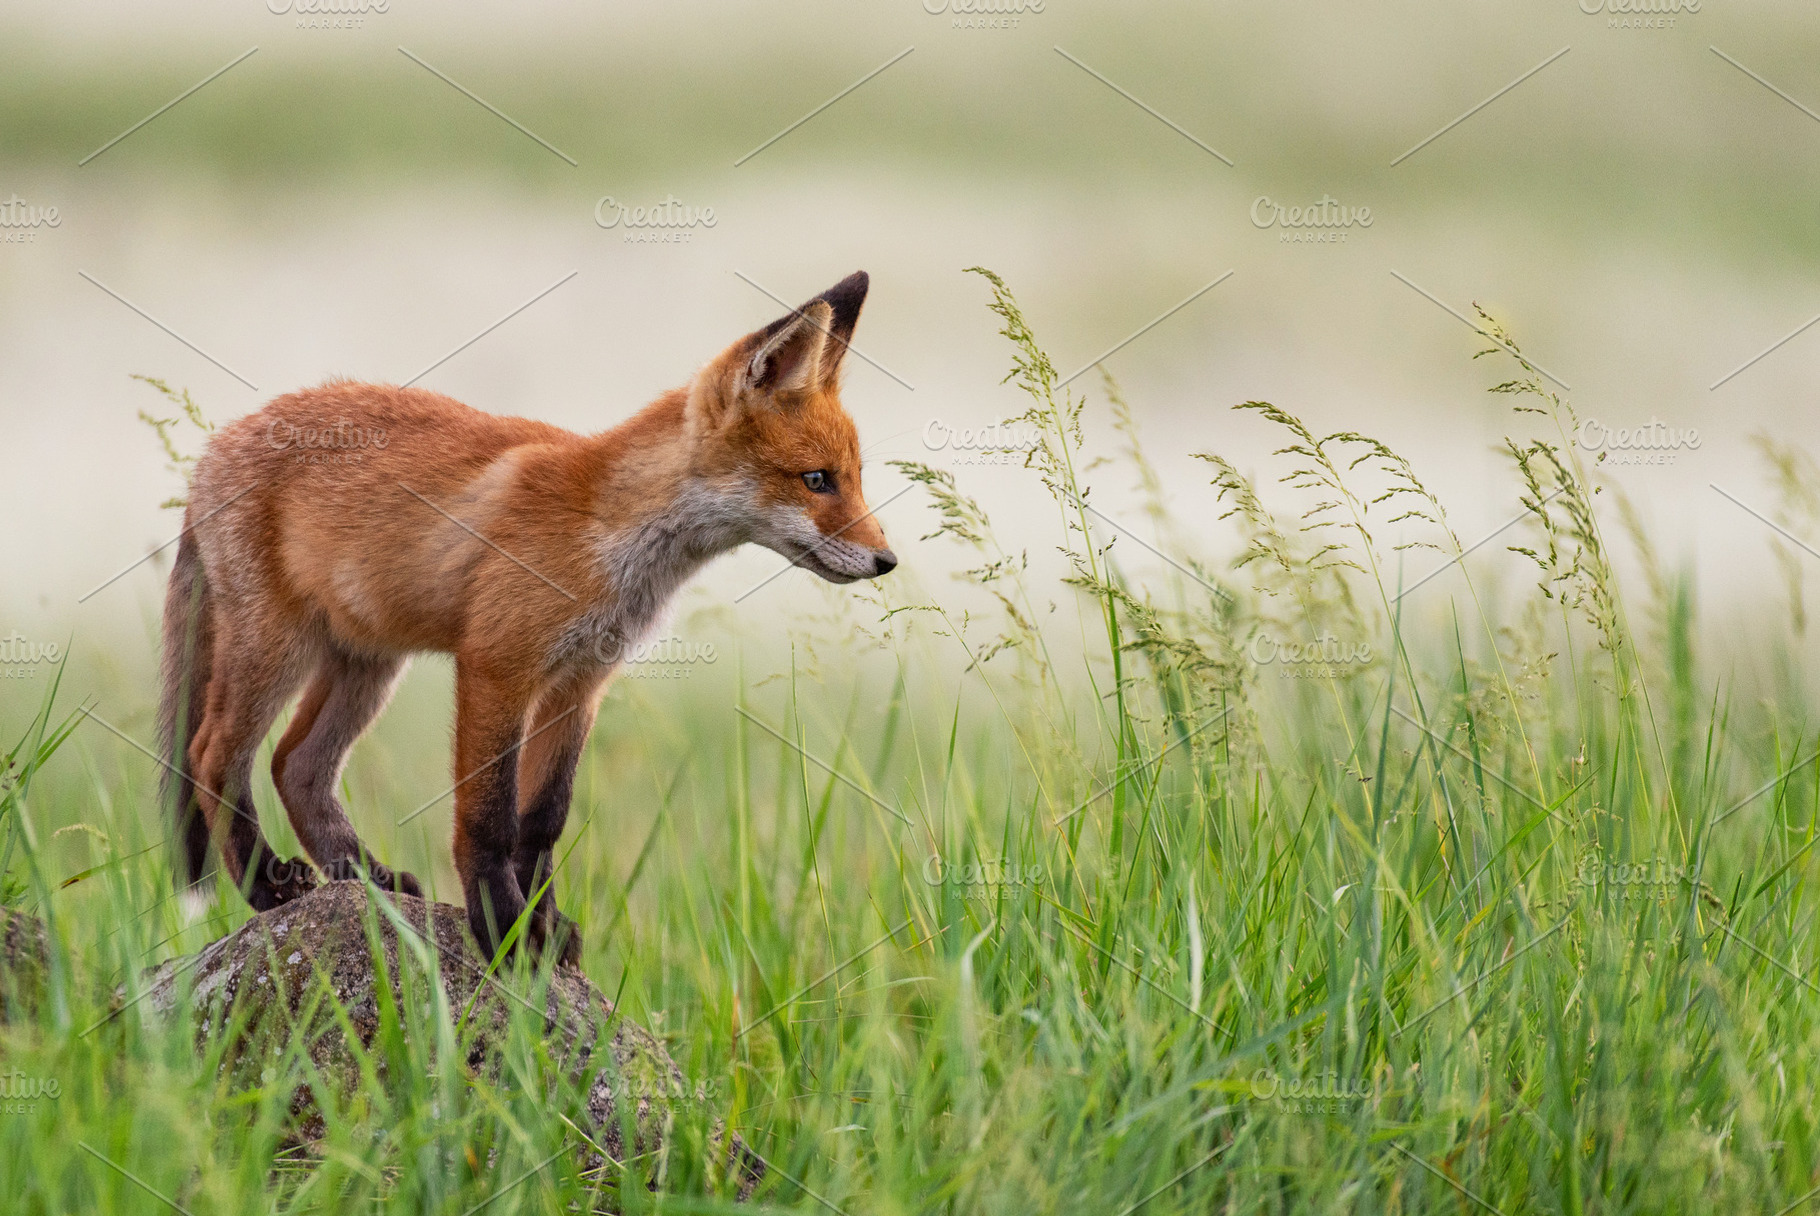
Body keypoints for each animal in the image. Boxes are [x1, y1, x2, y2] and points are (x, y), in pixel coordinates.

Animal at [158, 270, 896, 963]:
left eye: (856, 479)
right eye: (817, 481)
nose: (886, 561)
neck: (610, 536)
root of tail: (214, 448)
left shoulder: (581, 681)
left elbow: (542, 822)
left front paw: (545, 922)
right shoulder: (497, 665)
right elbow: (488, 817)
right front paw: (502, 926)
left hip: (368, 662)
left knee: (295, 763)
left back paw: (364, 875)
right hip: (278, 647)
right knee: (213, 752)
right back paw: (264, 884)